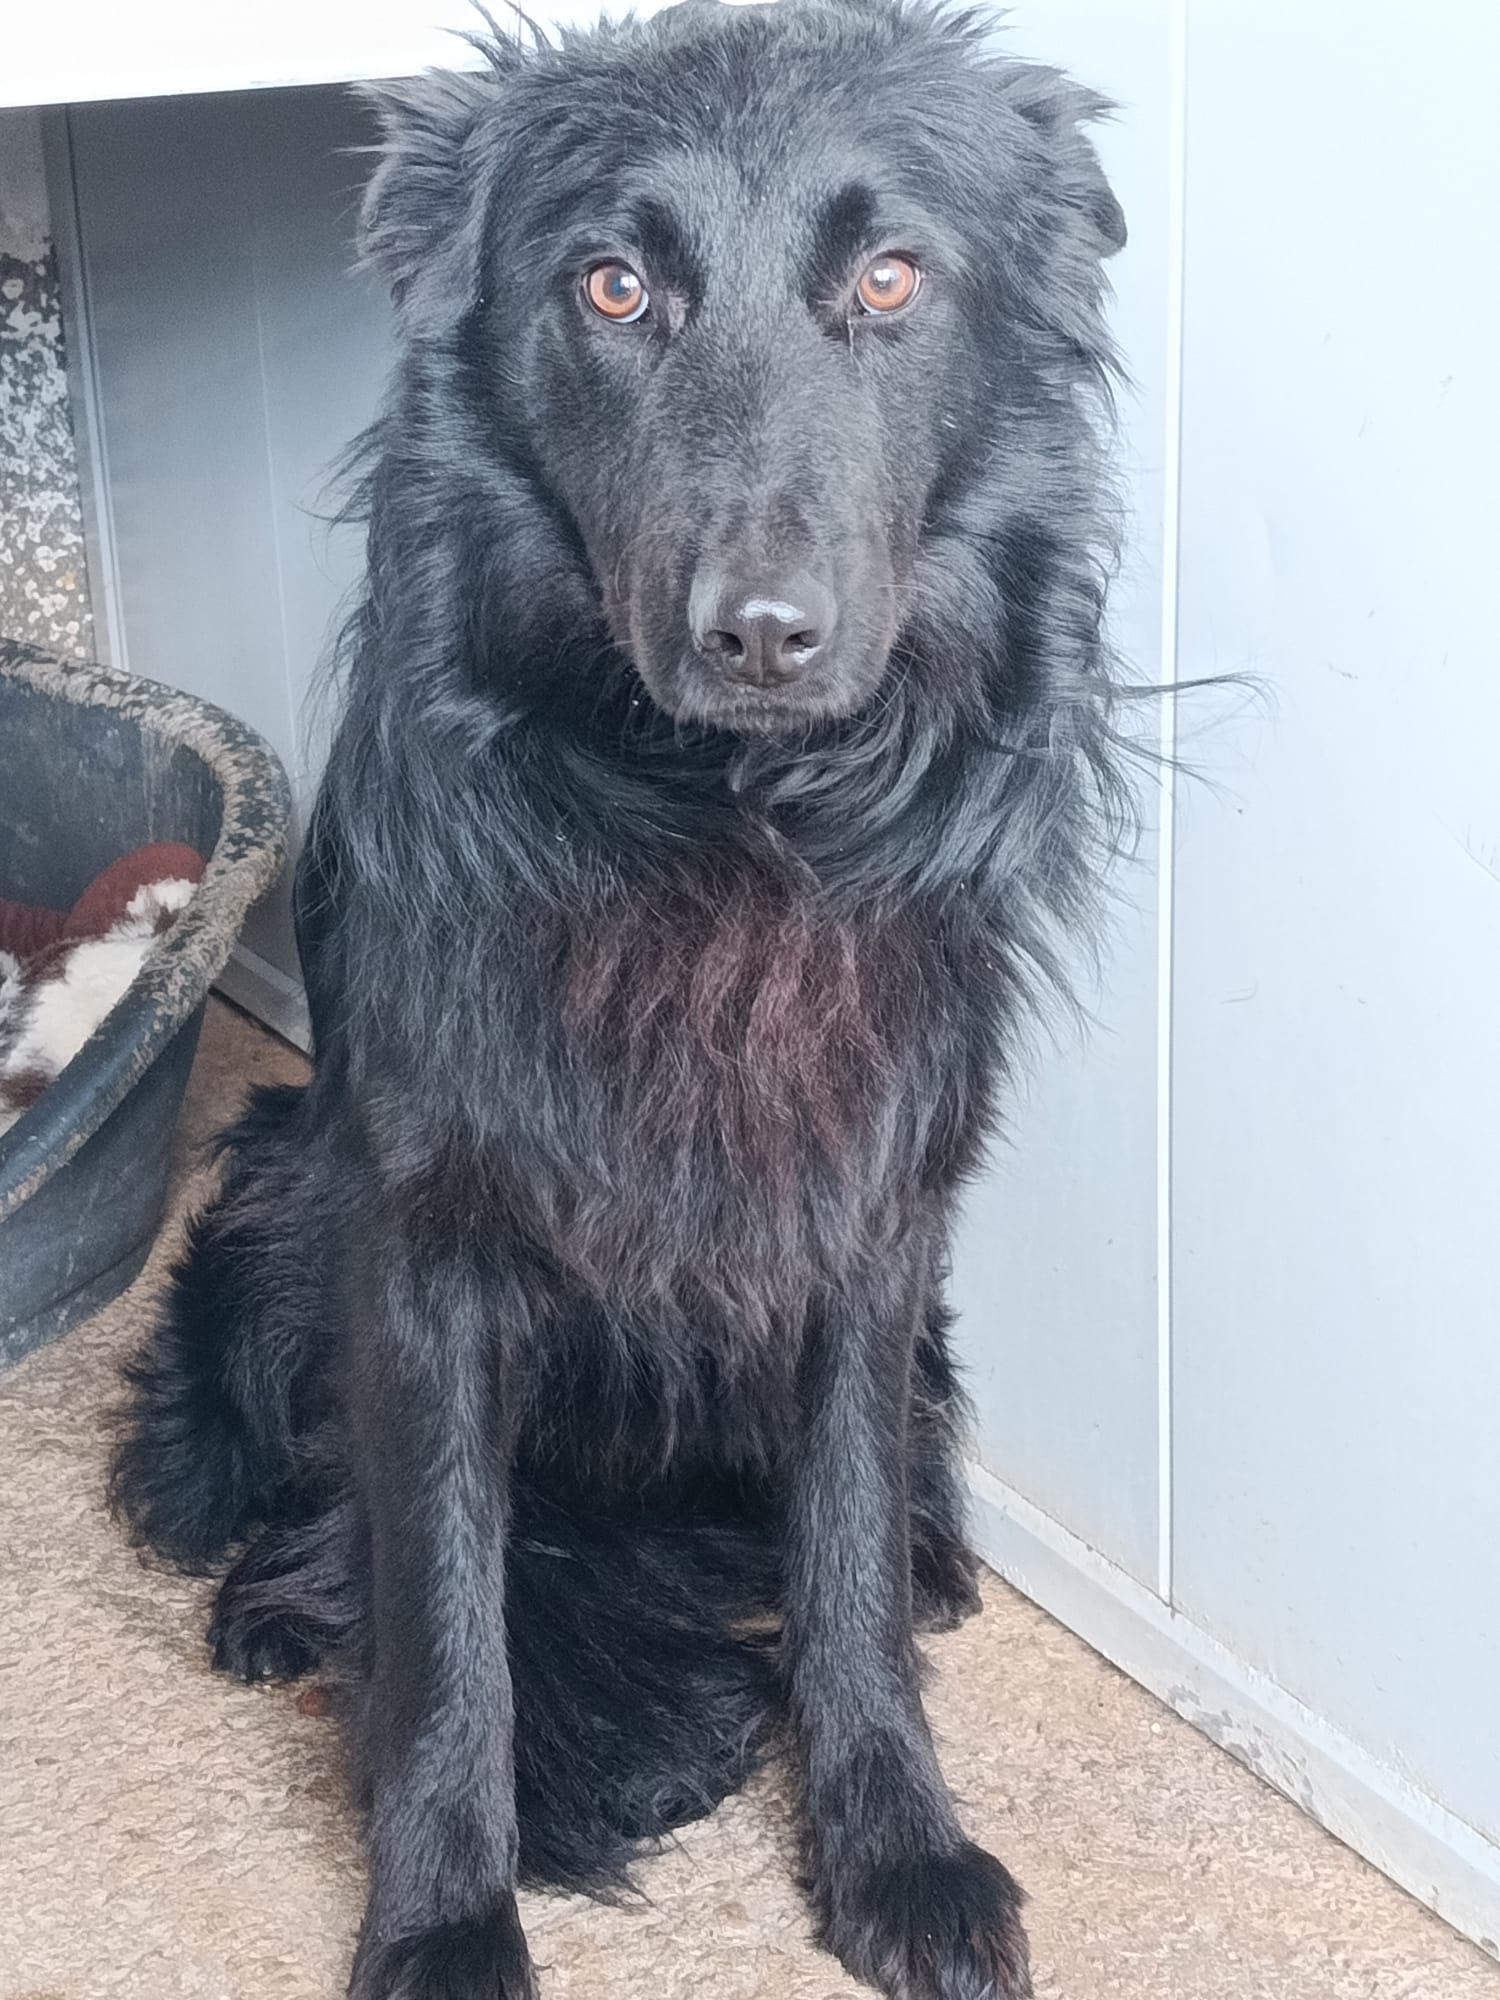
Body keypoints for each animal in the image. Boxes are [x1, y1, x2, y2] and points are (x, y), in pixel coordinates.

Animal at [111, 4, 1129, 1994]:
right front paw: (443, 1916)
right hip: (272, 1191)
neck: (717, 822)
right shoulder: (417, 1241)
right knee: (265, 1476)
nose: (763, 635)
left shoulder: (867, 1226)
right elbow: (444, 1609)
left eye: (891, 279)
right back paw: (263, 1587)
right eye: (613, 286)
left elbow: (841, 1554)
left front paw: (894, 1847)